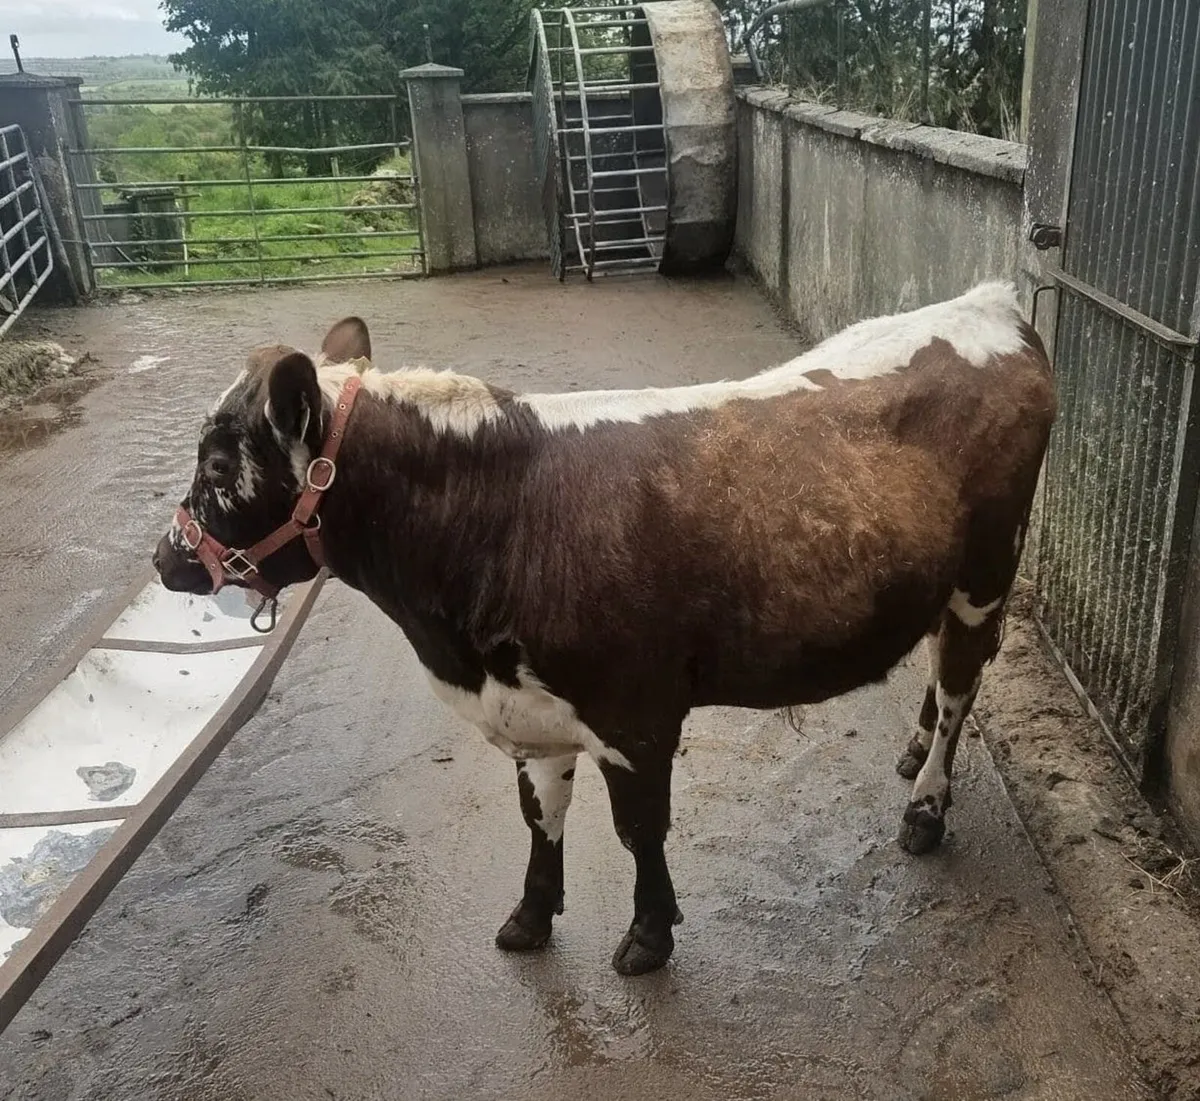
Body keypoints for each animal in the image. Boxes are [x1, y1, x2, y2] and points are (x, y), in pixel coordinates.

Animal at [153, 282, 1056, 976]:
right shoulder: (533, 709)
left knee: (964, 678)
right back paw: (912, 750)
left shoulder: (636, 713)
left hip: (988, 572)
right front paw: (529, 916)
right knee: (941, 667)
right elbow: (541, 817)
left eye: (218, 463)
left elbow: (637, 831)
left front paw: (649, 936)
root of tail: (991, 301)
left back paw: (927, 807)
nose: (166, 559)